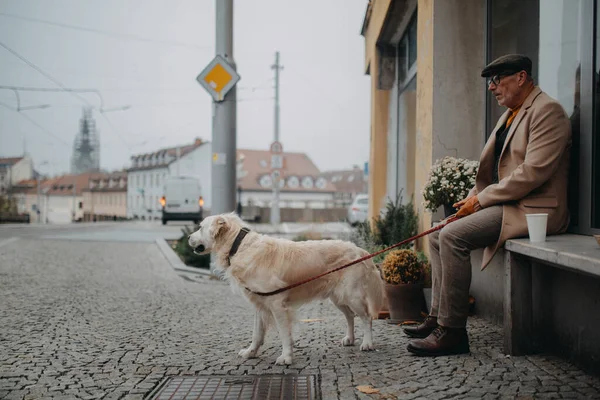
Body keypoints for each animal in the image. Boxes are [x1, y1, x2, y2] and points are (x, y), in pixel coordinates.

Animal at [188, 212, 384, 366]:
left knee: (366, 317)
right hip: (338, 297)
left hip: (352, 295)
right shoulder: (260, 304)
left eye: (201, 227)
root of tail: (360, 250)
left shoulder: (277, 304)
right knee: (350, 316)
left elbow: (283, 333)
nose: (189, 237)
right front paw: (251, 352)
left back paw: (367, 343)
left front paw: (286, 357)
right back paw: (349, 339)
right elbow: (256, 334)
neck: (239, 246)